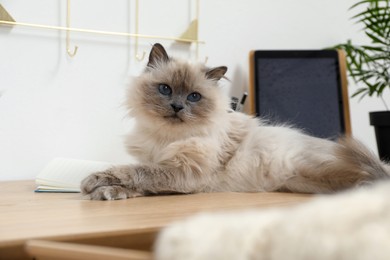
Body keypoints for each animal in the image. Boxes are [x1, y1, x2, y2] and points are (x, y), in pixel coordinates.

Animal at [80, 43, 388, 200]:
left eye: (194, 97)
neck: (166, 138)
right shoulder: (168, 170)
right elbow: (138, 184)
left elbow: (134, 172)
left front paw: (93, 182)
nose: (177, 107)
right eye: (165, 89)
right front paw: (106, 192)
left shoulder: (181, 173)